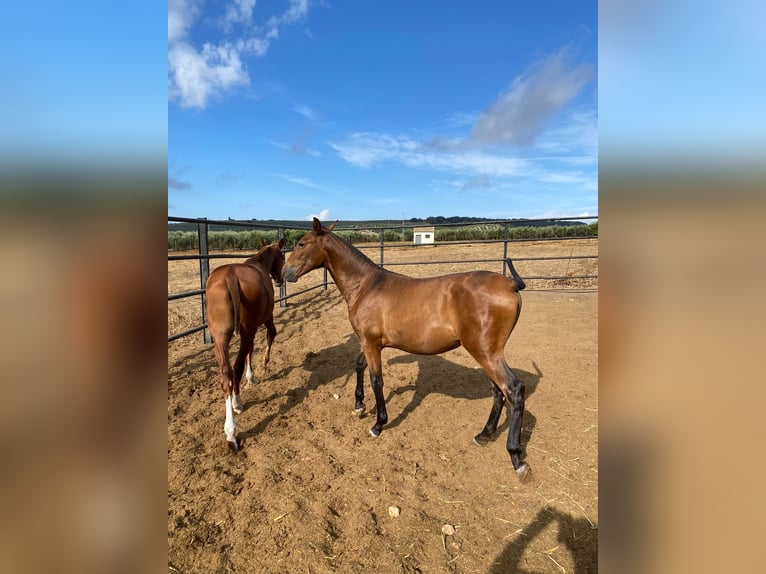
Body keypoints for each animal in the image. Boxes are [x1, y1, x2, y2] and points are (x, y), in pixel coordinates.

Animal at [206, 238, 286, 450]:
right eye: (282, 257)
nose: (280, 279)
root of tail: (230, 278)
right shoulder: (263, 321)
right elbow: (269, 336)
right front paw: (260, 369)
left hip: (219, 337)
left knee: (226, 373)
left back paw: (229, 431)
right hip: (247, 331)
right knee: (237, 366)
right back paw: (236, 406)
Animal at [284, 218, 532, 480]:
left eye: (301, 244)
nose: (284, 272)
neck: (366, 286)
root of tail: (511, 284)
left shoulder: (371, 344)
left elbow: (377, 381)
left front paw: (378, 424)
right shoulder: (369, 342)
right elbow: (359, 365)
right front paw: (359, 405)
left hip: (486, 353)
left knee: (513, 390)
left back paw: (516, 457)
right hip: (487, 354)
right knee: (498, 391)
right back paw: (483, 435)